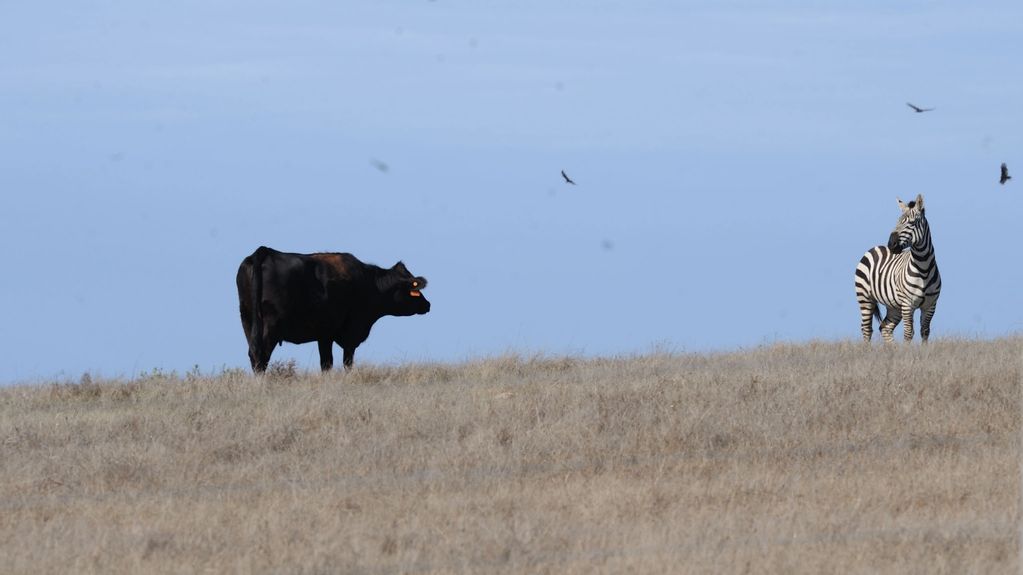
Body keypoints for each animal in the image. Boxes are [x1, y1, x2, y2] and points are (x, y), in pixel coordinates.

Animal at [236, 246, 430, 372]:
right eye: (414, 290)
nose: (428, 304)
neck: (369, 284)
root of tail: (265, 251)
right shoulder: (351, 331)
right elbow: (345, 362)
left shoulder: (324, 334)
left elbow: (326, 363)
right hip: (271, 324)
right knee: (262, 354)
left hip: (247, 319)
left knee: (253, 353)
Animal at [854, 194, 941, 342]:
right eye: (897, 222)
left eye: (911, 223)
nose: (891, 245)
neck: (923, 269)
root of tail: (875, 247)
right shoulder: (907, 304)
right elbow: (908, 332)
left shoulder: (930, 305)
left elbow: (925, 331)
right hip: (864, 297)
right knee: (866, 329)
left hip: (893, 306)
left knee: (885, 328)